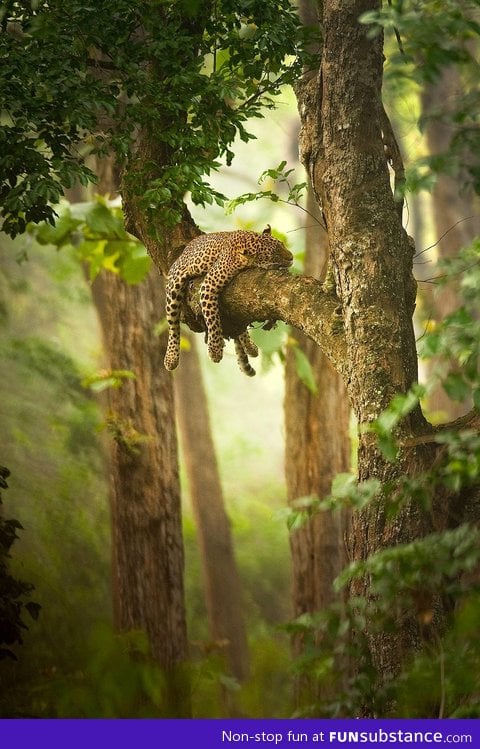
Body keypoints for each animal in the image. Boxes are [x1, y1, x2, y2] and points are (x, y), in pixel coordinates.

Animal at [165, 222, 292, 374]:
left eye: (283, 245)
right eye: (275, 254)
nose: (291, 257)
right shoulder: (209, 284)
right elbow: (212, 319)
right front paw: (215, 351)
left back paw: (250, 347)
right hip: (174, 285)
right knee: (173, 324)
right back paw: (171, 359)